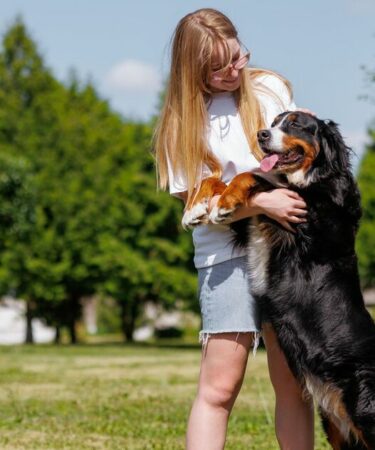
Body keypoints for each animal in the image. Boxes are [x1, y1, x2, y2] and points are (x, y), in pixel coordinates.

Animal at [182, 110, 375, 450]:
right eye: (273, 122)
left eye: (296, 124)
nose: (261, 134)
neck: (315, 179)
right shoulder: (255, 225)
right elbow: (221, 177)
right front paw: (197, 208)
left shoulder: (301, 215)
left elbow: (256, 177)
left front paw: (224, 202)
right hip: (337, 424)